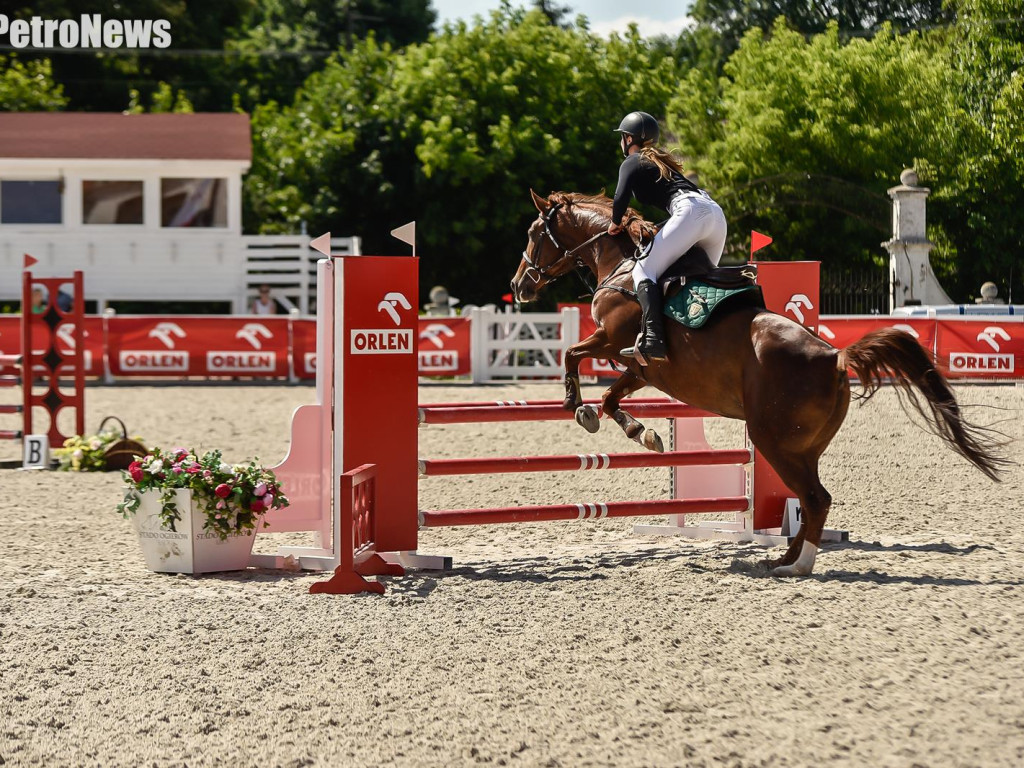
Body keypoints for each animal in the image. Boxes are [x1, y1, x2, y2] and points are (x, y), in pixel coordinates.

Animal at [507, 191, 1003, 577]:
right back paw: (782, 557)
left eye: (532, 234)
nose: (519, 285)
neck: (623, 266)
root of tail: (834, 356)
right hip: (802, 446)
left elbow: (573, 355)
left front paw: (576, 404)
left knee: (816, 498)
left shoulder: (612, 340)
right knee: (809, 500)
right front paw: (639, 432)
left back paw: (797, 565)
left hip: (771, 439)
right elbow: (612, 398)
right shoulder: (641, 367)